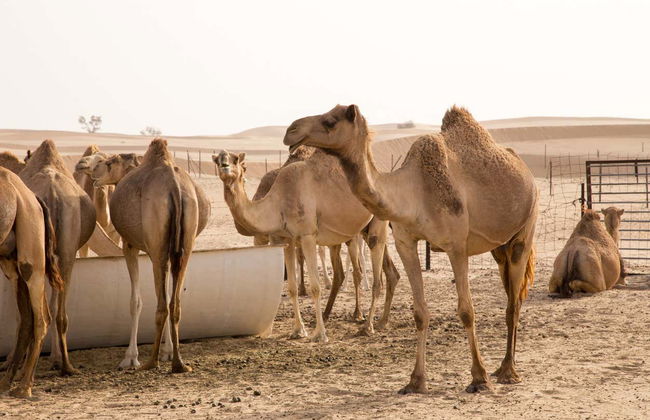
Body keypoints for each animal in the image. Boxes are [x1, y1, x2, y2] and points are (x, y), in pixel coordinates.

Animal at [0, 167, 62, 398]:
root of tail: (32, 198)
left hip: (31, 253)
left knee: (41, 317)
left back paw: (24, 386)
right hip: (10, 261)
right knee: (27, 318)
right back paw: (7, 383)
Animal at [92, 139, 210, 371]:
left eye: (109, 163)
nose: (94, 173)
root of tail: (174, 187)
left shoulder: (130, 245)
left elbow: (135, 301)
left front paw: (130, 357)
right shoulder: (169, 251)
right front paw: (167, 351)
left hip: (157, 248)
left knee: (162, 304)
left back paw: (150, 362)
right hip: (184, 246)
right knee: (174, 303)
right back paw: (178, 363)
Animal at [213, 148, 400, 341]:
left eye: (236, 160)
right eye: (216, 160)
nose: (224, 165)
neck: (278, 202)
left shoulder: (307, 235)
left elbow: (315, 288)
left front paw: (320, 334)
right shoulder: (285, 240)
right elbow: (292, 287)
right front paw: (298, 330)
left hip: (377, 223)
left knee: (377, 277)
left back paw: (367, 326)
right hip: (363, 229)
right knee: (387, 272)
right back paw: (381, 322)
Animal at [283, 104, 538, 394]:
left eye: (330, 121)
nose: (291, 130)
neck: (414, 193)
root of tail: (527, 173)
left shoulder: (456, 246)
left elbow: (466, 311)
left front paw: (479, 378)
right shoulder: (405, 242)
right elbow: (419, 312)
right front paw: (416, 380)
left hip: (525, 230)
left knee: (513, 303)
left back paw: (507, 371)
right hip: (500, 248)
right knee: (512, 295)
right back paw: (503, 367)